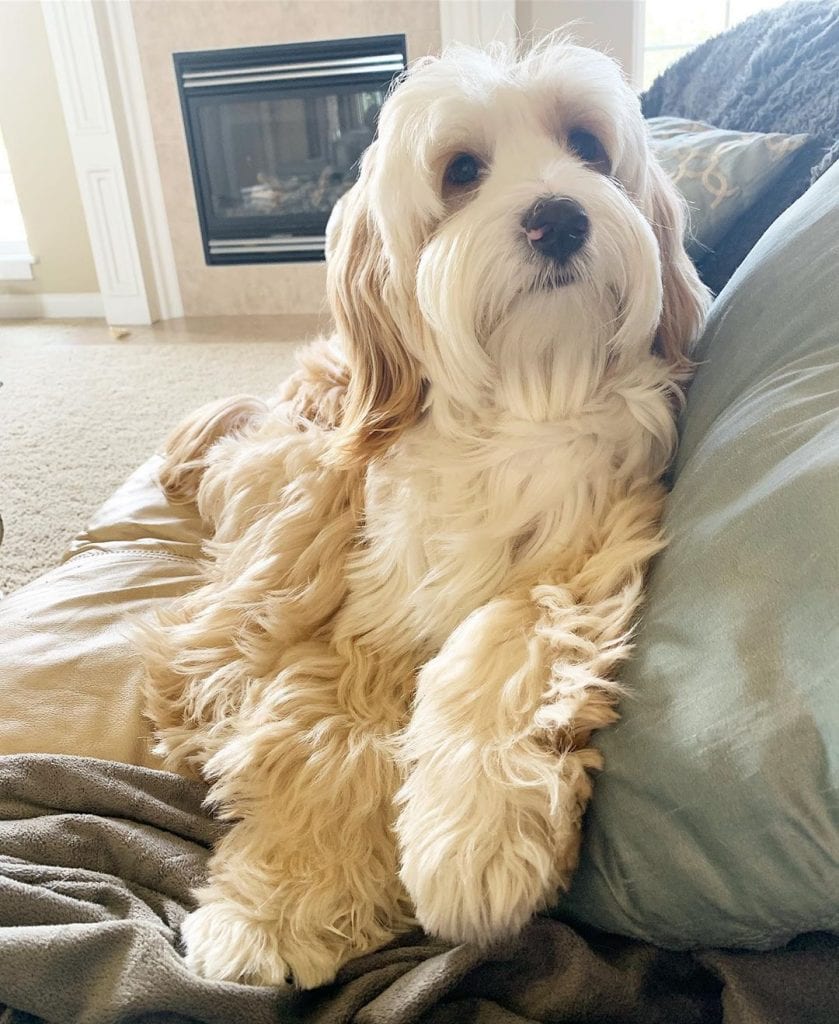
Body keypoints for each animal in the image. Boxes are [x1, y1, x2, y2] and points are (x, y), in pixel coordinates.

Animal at [138, 39, 708, 991]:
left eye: (587, 147)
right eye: (462, 171)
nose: (556, 219)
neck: (523, 394)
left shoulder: (595, 539)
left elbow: (506, 639)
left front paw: (476, 836)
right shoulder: (361, 624)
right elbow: (331, 751)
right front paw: (277, 913)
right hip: (297, 512)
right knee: (214, 634)